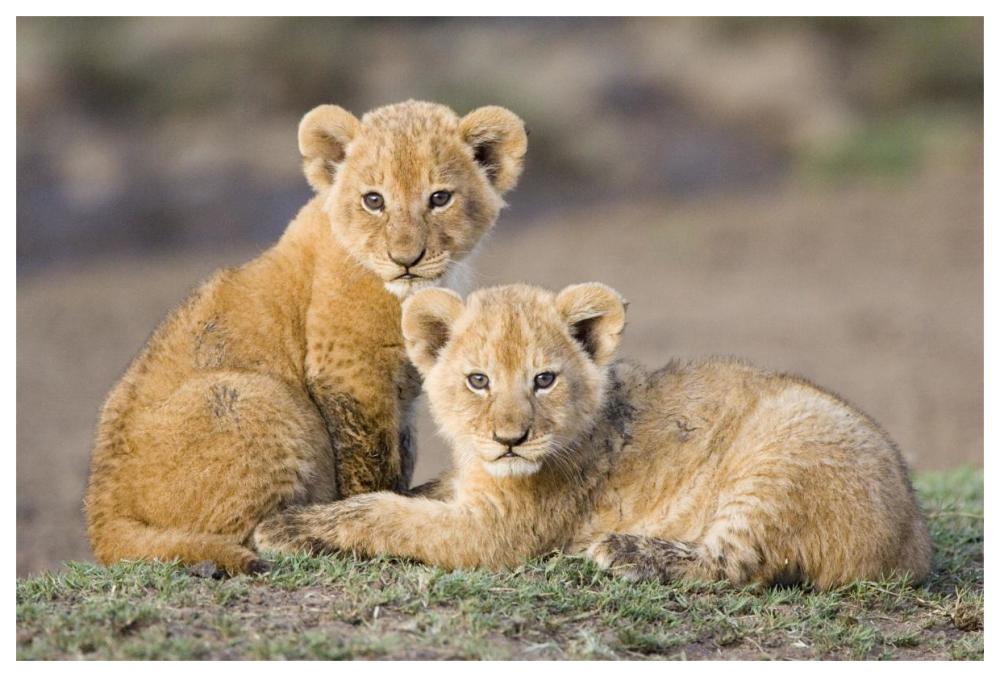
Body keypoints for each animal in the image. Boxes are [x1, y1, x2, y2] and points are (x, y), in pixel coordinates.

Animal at [84, 101, 528, 575]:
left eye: (440, 198)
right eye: (374, 200)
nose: (406, 260)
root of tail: (102, 518)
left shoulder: (403, 392)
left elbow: (403, 451)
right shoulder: (349, 368)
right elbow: (370, 458)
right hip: (255, 396)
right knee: (242, 533)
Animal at [255, 283, 932, 589]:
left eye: (544, 379)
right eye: (478, 380)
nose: (510, 439)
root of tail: (914, 545)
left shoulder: (498, 533)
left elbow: (385, 514)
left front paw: (287, 527)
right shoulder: (465, 488)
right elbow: (412, 496)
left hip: (782, 452)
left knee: (736, 564)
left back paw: (618, 550)